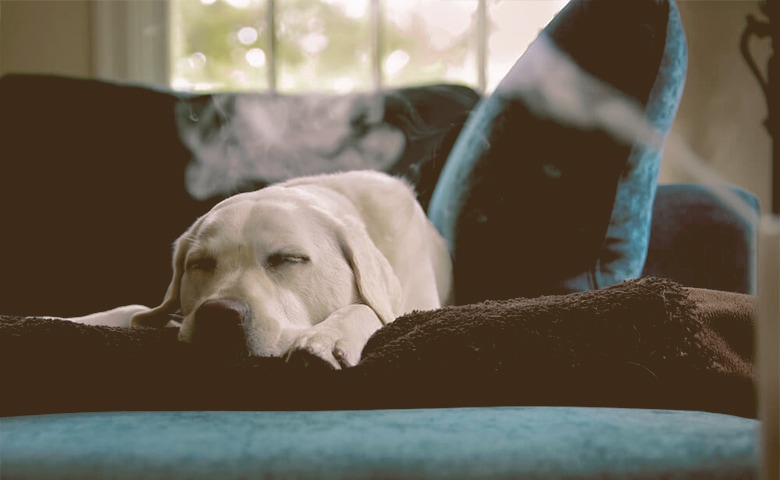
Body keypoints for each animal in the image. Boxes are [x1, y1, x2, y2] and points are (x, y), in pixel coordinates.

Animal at [61, 171, 454, 370]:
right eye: (199, 264)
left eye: (288, 259)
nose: (218, 316)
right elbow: (133, 311)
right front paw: (63, 320)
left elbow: (367, 309)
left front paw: (328, 337)